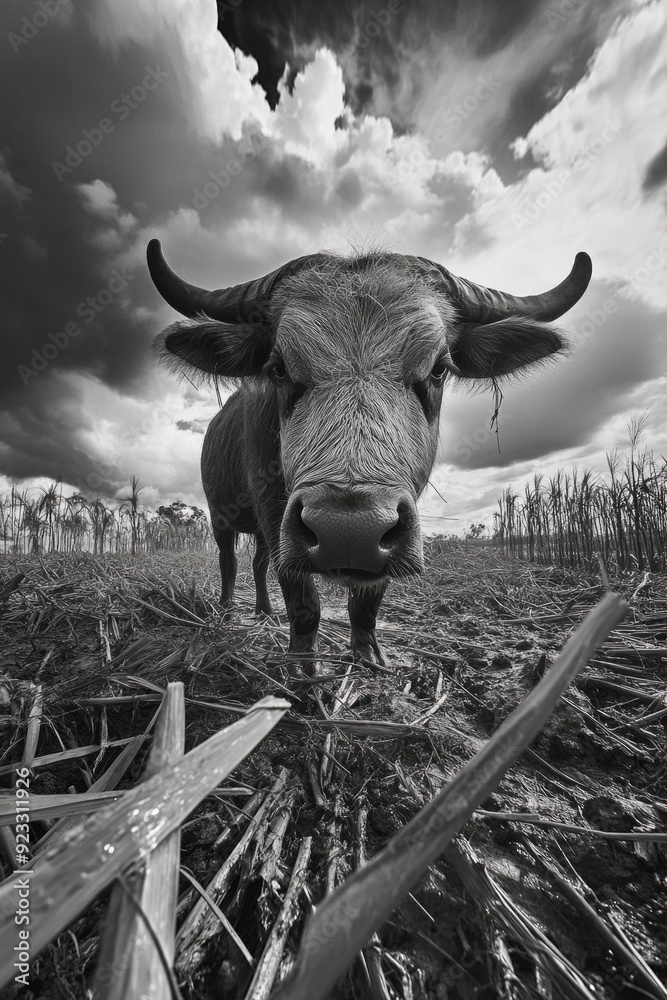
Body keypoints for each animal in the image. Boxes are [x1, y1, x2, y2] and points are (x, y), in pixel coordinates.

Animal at [147, 239, 588, 668]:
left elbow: (369, 597)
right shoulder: (273, 510)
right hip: (220, 513)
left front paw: (367, 653)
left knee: (256, 563)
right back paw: (225, 610)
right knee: (229, 560)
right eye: (279, 369)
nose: (348, 532)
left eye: (439, 369)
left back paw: (264, 610)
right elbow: (301, 595)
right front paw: (302, 663)